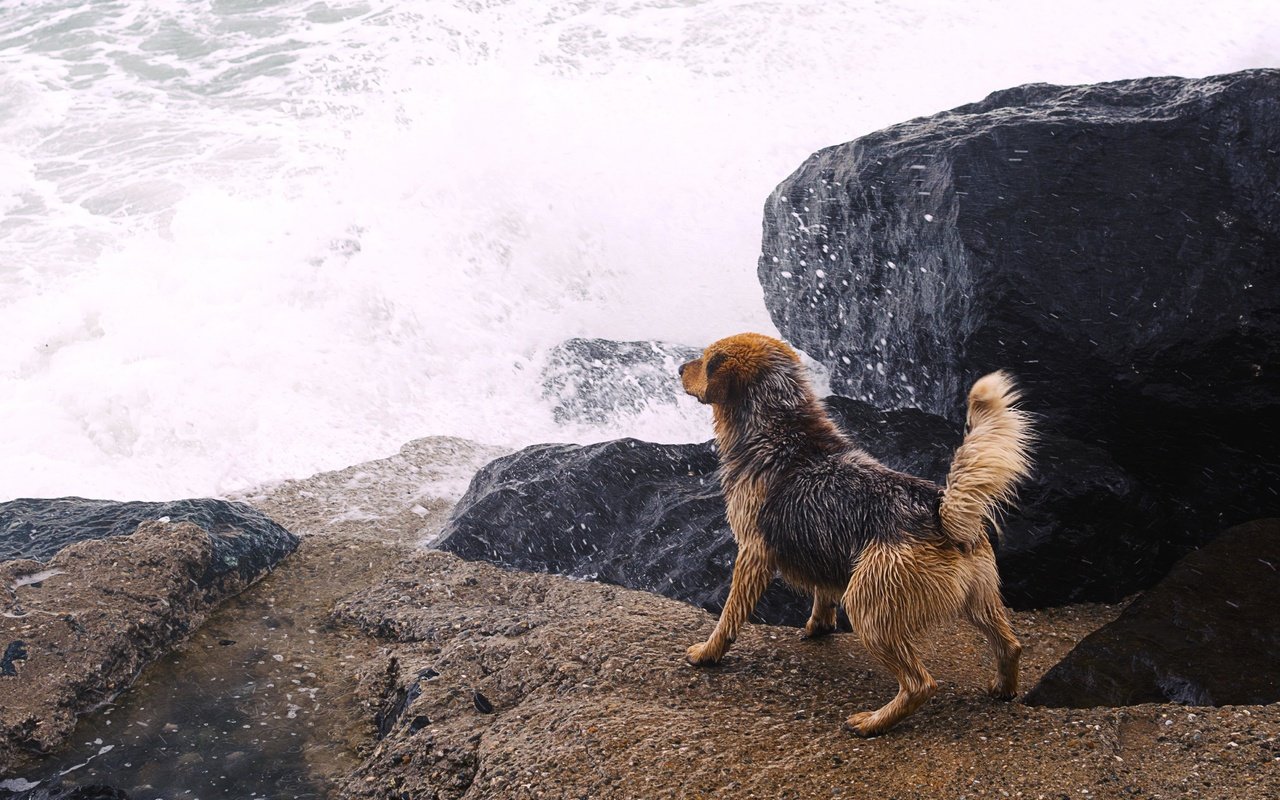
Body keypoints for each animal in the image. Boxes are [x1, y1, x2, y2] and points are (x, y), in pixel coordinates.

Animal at [680, 332, 1029, 737]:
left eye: (706, 360)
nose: (678, 368)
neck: (777, 426)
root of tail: (940, 512)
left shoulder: (753, 553)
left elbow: (730, 614)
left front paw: (708, 653)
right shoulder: (822, 547)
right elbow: (822, 593)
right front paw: (818, 626)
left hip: (868, 605)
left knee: (920, 684)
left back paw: (873, 722)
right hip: (980, 597)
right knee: (1010, 645)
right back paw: (1003, 689)